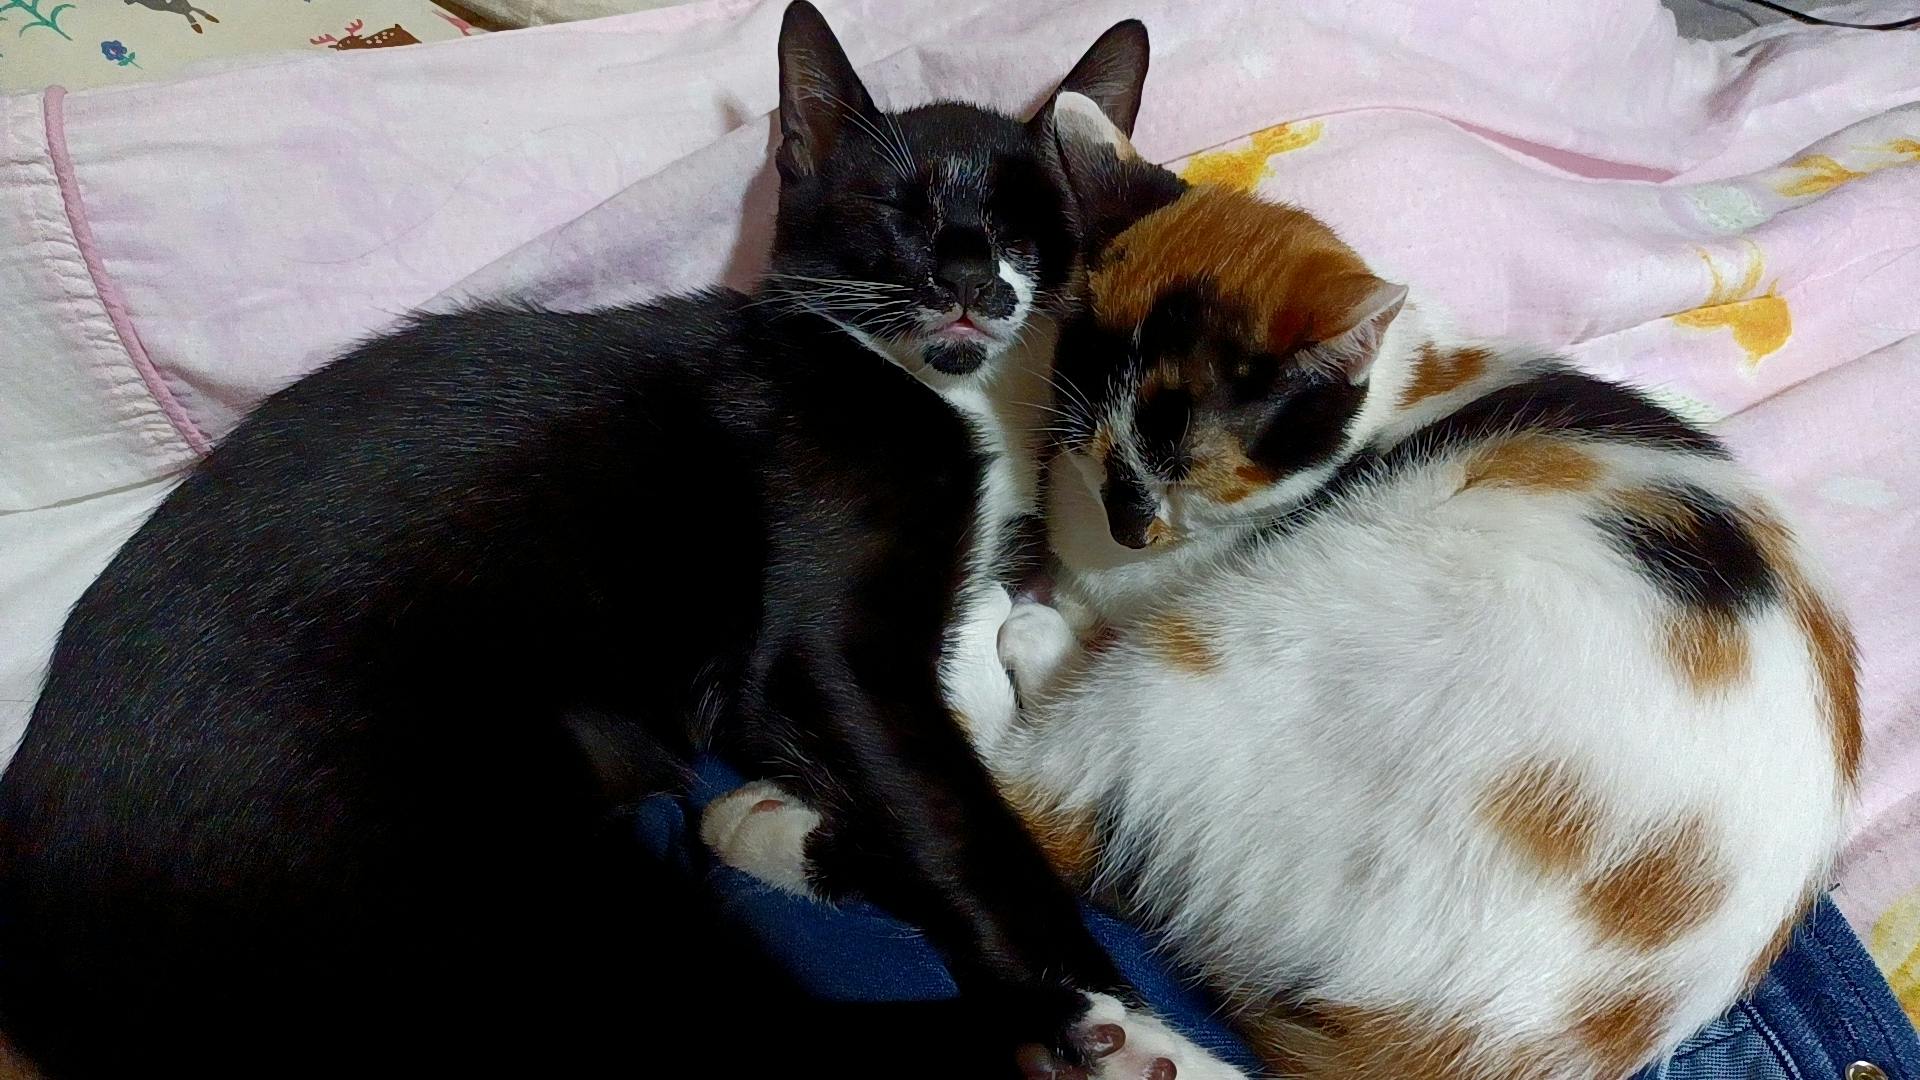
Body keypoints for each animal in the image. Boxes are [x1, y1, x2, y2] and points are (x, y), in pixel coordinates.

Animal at [0, 12, 1228, 1078]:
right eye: (897, 212)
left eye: (1028, 228)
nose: (972, 281)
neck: (943, 393)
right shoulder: (826, 644)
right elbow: (959, 817)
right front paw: (1090, 994)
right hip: (487, 868)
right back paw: (1113, 1043)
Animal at [712, 91, 1859, 1080]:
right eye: (1083, 436)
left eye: (1185, 470)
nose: (1124, 524)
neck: (1397, 387)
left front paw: (1038, 617)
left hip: (1245, 654)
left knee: (1026, 800)